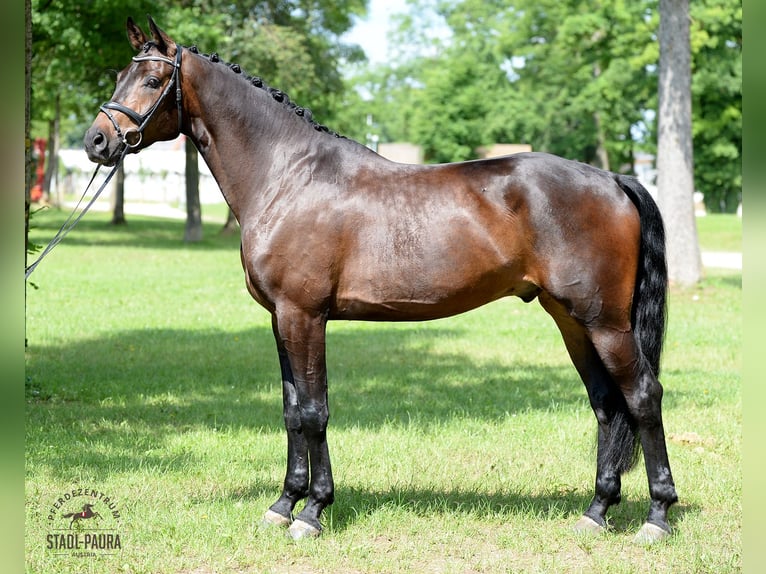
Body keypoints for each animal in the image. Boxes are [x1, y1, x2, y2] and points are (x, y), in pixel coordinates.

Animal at [85, 14, 680, 544]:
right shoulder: (281, 320)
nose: (97, 142)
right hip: (572, 320)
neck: (289, 175)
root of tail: (613, 179)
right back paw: (596, 511)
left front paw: (312, 513)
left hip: (605, 323)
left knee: (643, 396)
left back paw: (656, 517)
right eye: (118, 76)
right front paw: (282, 505)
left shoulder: (304, 316)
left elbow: (314, 410)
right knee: (607, 404)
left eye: (153, 80)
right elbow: (291, 411)